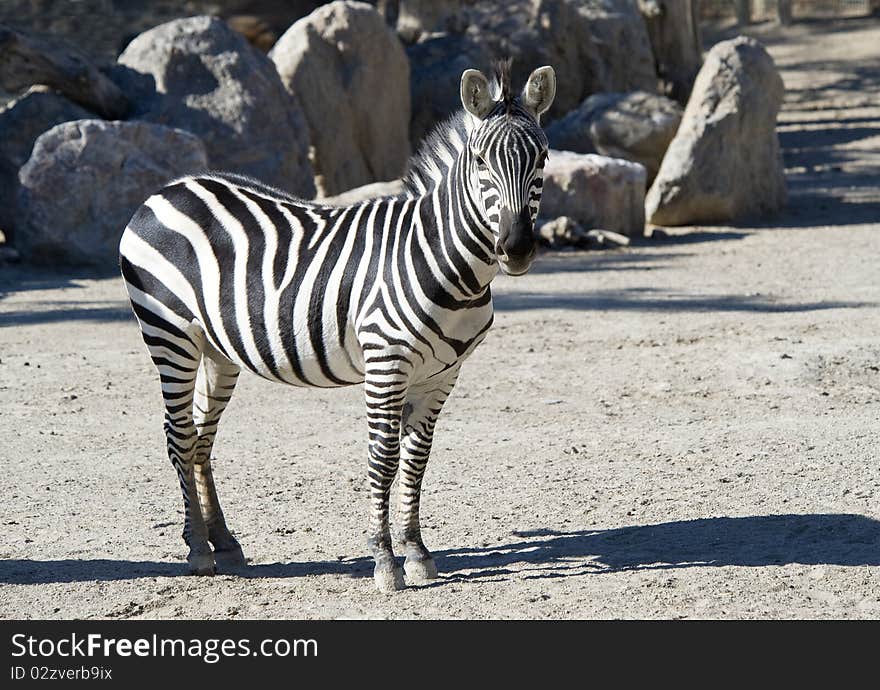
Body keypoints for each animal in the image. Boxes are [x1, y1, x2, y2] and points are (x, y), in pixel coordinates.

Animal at [118, 60, 556, 592]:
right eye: (478, 162)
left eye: (543, 157)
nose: (517, 248)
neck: (448, 265)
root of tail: (168, 189)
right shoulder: (386, 362)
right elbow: (383, 458)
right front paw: (385, 561)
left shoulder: (442, 374)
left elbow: (417, 461)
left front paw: (417, 552)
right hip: (170, 336)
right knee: (179, 433)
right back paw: (199, 550)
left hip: (217, 349)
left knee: (202, 436)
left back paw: (222, 541)